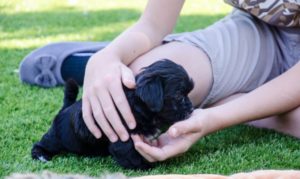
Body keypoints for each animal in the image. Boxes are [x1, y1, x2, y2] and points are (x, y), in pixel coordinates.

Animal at [31, 59, 195, 170]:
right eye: (179, 96)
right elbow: (130, 155)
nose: (191, 109)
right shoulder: (122, 138)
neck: (137, 104)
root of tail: (65, 108)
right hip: (56, 138)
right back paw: (41, 155)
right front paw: (148, 166)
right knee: (43, 143)